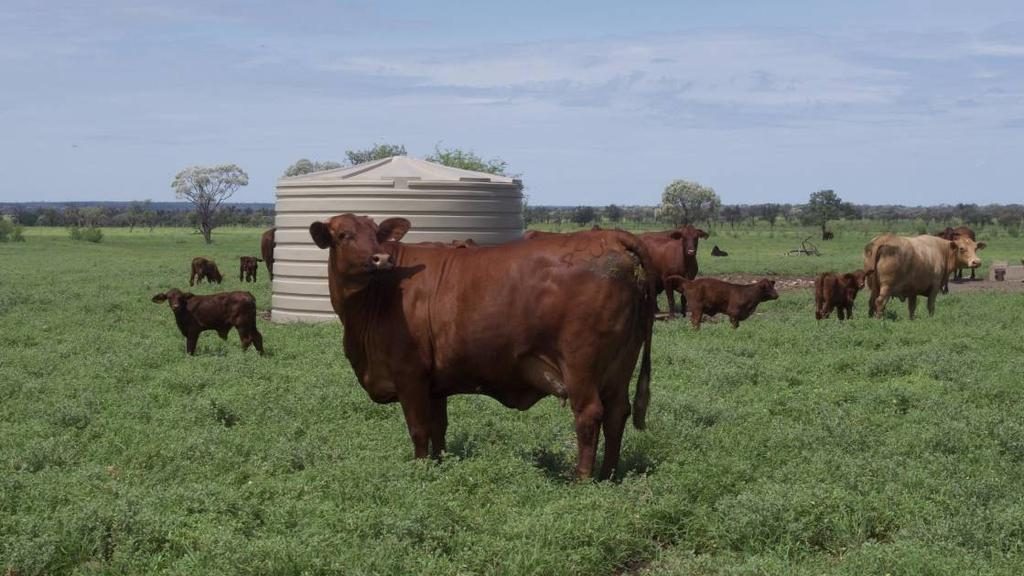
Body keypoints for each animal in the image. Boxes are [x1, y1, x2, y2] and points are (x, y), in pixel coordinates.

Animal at [307, 213, 655, 477]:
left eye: (376, 234)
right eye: (344, 235)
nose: (380, 258)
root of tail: (612, 237)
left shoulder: (410, 375)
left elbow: (419, 428)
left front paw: (420, 473)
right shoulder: (434, 384)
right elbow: (438, 428)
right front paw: (439, 466)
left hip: (581, 363)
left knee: (589, 415)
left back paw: (581, 480)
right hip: (621, 363)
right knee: (616, 414)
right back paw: (609, 475)